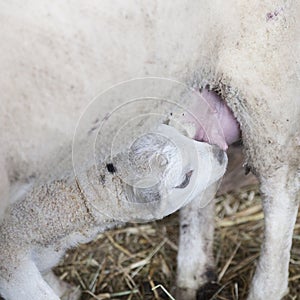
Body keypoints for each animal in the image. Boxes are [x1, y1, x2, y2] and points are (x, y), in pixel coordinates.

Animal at [0, 0, 298, 298]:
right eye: (182, 179)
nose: (218, 155)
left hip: (263, 74)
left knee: (280, 187)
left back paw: (265, 287)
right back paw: (193, 273)